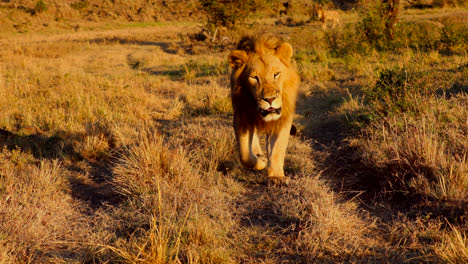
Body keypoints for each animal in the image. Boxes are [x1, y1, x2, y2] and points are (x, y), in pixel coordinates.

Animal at [228, 33, 300, 185]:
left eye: (276, 74)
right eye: (255, 77)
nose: (270, 99)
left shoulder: (282, 119)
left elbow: (277, 148)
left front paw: (276, 176)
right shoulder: (241, 115)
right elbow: (244, 153)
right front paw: (260, 160)